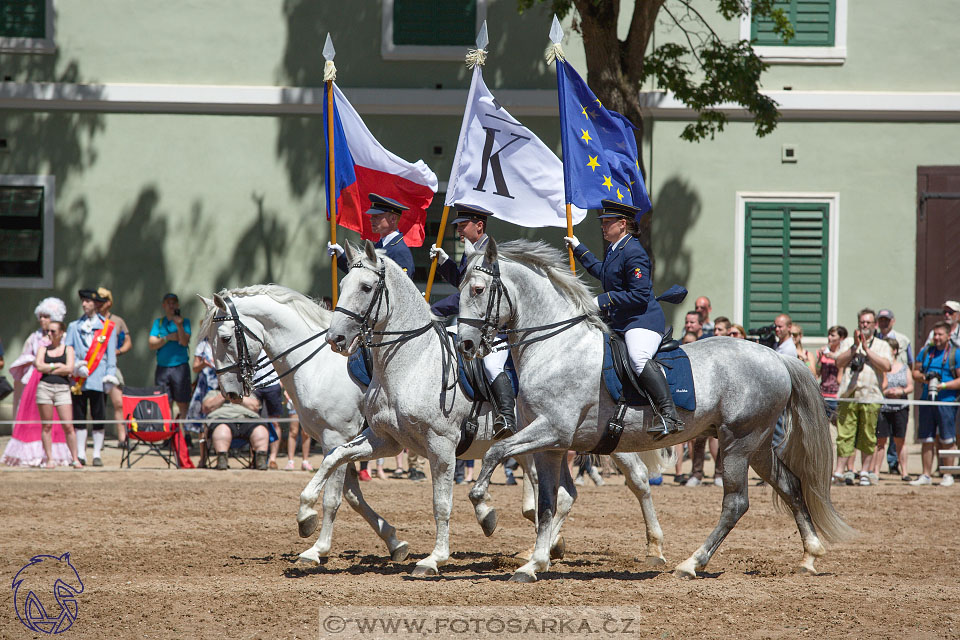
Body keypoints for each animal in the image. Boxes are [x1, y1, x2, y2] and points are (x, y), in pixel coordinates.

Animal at [201, 288, 410, 564]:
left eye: (225, 338)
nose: (229, 393)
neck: (318, 365)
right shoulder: (336, 445)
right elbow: (353, 496)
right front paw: (394, 542)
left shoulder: (336, 438)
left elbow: (332, 498)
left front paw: (316, 546)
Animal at [304, 242, 672, 576]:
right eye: (343, 285)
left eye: (365, 287)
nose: (335, 339)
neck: (412, 360)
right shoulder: (385, 440)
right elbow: (334, 460)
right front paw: (306, 515)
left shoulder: (440, 446)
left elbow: (441, 504)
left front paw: (437, 556)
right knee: (565, 495)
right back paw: (542, 551)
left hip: (607, 440)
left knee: (638, 480)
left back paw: (654, 549)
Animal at [458, 238, 856, 584]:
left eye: (477, 289)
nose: (466, 345)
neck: (557, 346)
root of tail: (775, 355)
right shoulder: (550, 446)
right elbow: (546, 504)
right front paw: (534, 563)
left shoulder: (551, 429)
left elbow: (495, 453)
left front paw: (486, 514)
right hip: (755, 444)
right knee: (789, 485)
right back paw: (809, 556)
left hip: (737, 444)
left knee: (735, 503)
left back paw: (691, 564)